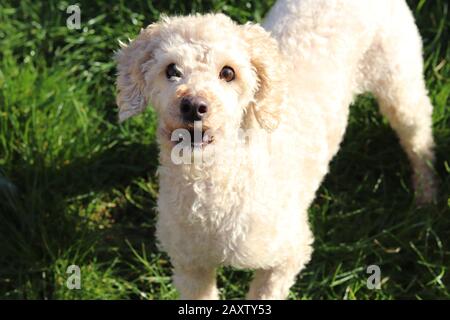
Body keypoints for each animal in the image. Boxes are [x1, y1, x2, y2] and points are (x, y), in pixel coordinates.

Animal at [116, 0, 436, 300]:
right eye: (171, 70)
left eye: (228, 72)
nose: (194, 106)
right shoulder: (190, 264)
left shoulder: (290, 252)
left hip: (398, 77)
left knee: (419, 136)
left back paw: (426, 195)